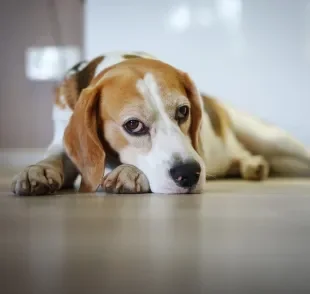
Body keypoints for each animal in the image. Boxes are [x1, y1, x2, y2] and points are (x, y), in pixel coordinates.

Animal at [11, 51, 310, 196]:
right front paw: (36, 172)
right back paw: (251, 165)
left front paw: (127, 173)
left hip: (272, 139)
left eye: (183, 111)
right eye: (133, 125)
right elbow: (55, 156)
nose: (189, 174)